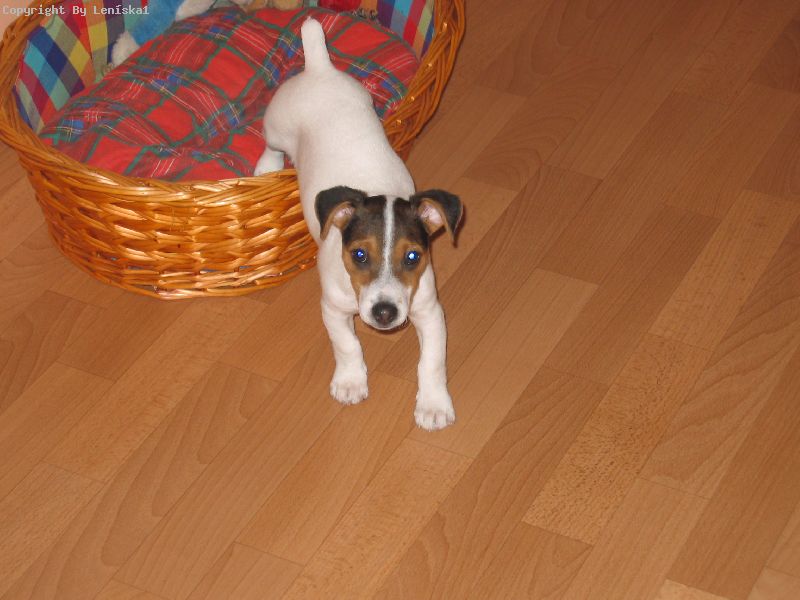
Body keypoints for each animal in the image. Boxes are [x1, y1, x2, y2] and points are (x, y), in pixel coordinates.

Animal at [254, 18, 462, 430]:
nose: (384, 314)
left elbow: (431, 362)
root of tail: (319, 67)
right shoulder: (333, 309)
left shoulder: (430, 311)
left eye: (413, 258)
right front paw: (351, 382)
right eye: (360, 255)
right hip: (276, 126)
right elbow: (347, 345)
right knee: (270, 145)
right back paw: (265, 168)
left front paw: (433, 404)